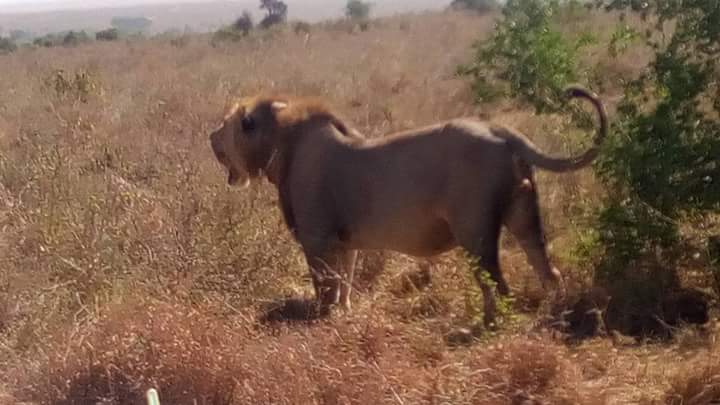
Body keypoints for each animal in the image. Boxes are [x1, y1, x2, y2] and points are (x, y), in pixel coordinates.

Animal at [209, 86, 608, 327]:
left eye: (227, 124)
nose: (210, 136)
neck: (280, 144)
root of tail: (501, 131)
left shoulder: (316, 238)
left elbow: (325, 286)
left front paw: (321, 321)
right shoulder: (344, 242)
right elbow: (346, 282)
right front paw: (344, 315)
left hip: (475, 231)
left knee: (500, 285)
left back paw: (492, 328)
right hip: (523, 216)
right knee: (548, 271)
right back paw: (552, 317)